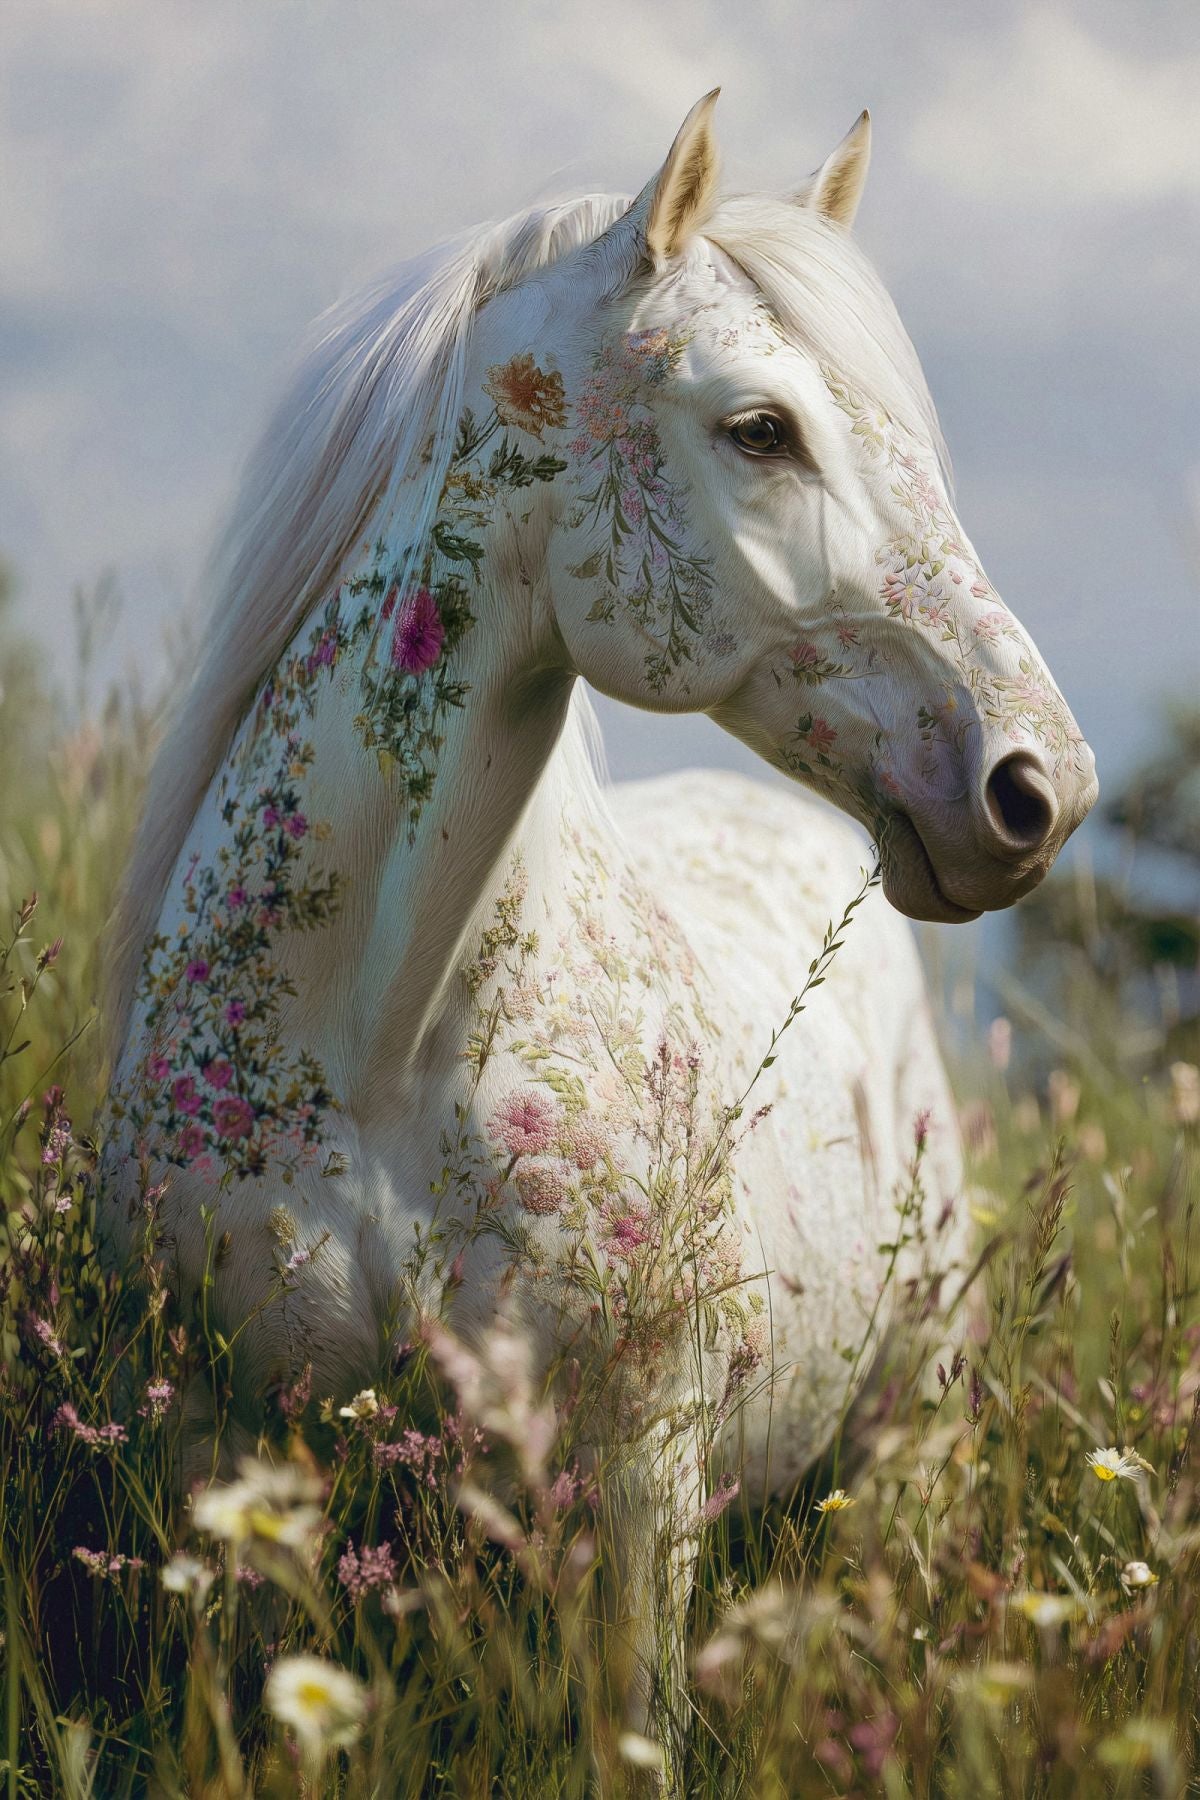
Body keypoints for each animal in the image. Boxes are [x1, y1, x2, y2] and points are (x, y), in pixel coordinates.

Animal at [102, 92, 1097, 1719]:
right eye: (761, 428)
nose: (1039, 789)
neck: (377, 1042)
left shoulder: (636, 1481)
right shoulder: (217, 1451)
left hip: (915, 1431)